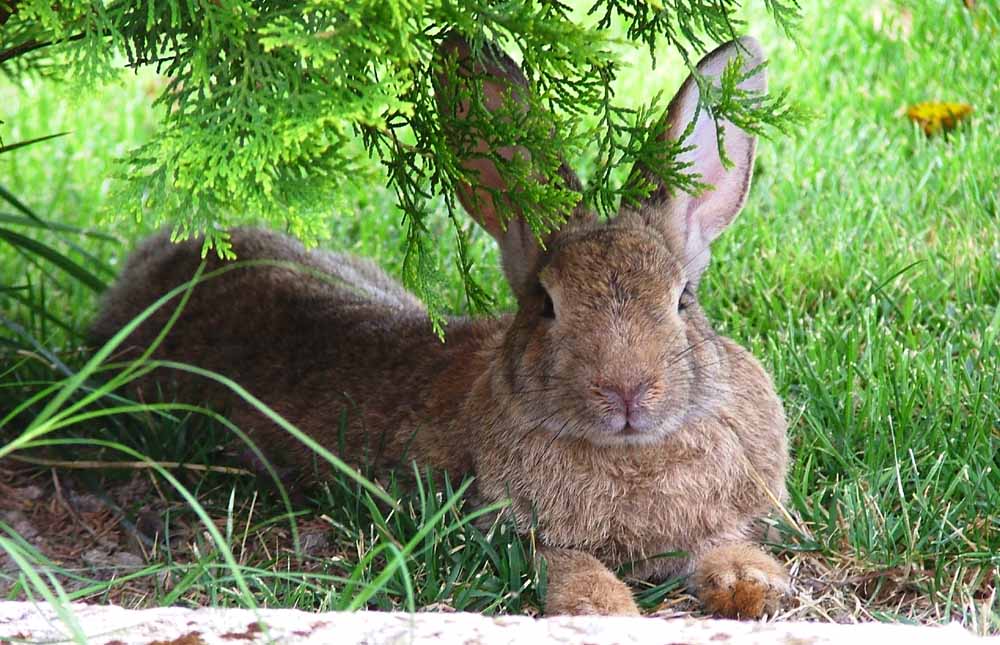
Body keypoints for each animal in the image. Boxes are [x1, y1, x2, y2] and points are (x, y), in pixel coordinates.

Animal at [92, 36, 788, 620]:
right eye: (547, 304)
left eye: (682, 299)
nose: (626, 391)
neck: (632, 453)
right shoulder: (515, 532)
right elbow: (568, 566)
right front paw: (603, 609)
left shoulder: (721, 521)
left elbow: (724, 549)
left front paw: (752, 586)